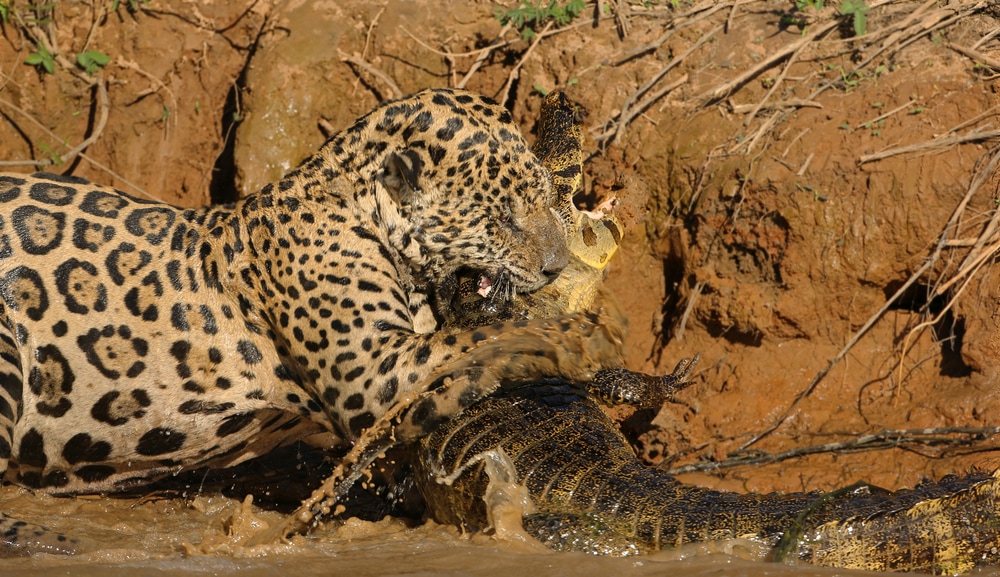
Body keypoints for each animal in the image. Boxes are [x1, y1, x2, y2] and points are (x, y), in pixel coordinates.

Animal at [0, 87, 624, 555]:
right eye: (502, 217)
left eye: (544, 197)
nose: (554, 266)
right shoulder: (370, 372)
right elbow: (481, 337)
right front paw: (578, 341)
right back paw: (49, 541)